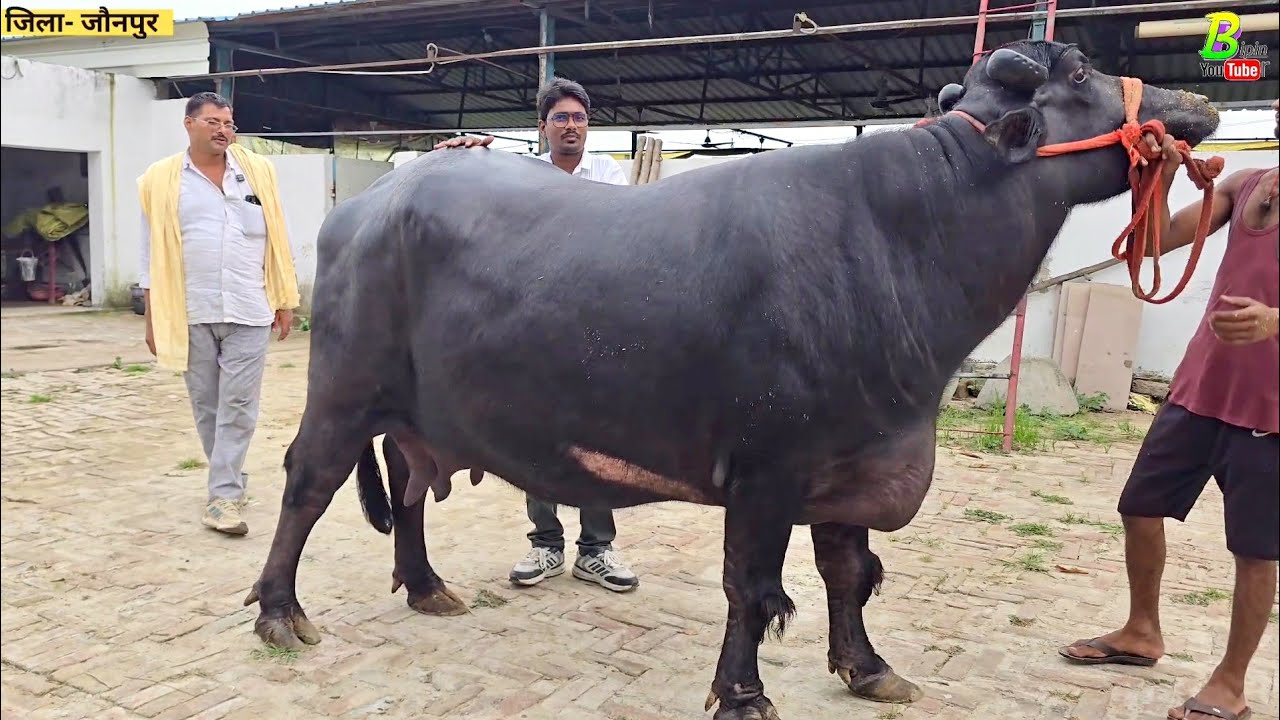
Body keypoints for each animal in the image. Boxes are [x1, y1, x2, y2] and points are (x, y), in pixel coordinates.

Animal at [242, 39, 1220, 719]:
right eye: (1085, 69)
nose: (1199, 100)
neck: (903, 242)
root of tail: (372, 204)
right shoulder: (766, 472)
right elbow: (754, 589)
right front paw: (744, 694)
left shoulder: (852, 460)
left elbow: (849, 573)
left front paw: (867, 668)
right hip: (341, 392)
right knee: (306, 485)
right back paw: (280, 612)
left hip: (414, 413)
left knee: (407, 487)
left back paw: (425, 585)